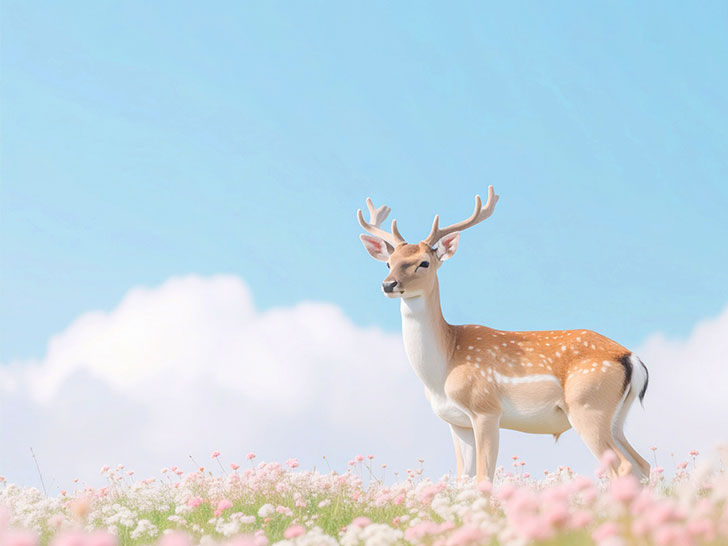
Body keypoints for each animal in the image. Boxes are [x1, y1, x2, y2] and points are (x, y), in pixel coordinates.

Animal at [357, 186, 650, 482]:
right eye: (388, 263)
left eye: (424, 263)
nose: (389, 284)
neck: (444, 367)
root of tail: (631, 358)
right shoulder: (456, 422)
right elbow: (464, 477)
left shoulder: (485, 409)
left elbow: (484, 477)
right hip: (616, 418)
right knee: (642, 464)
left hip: (588, 406)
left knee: (623, 467)